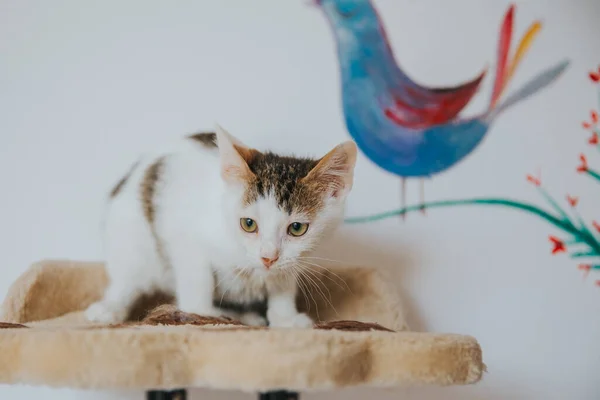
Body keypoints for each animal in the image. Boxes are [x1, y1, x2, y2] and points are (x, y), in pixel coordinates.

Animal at [84, 126, 356, 328]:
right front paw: (202, 314)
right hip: (129, 237)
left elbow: (283, 281)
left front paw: (285, 318)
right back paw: (109, 308)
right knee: (127, 279)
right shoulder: (185, 236)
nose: (268, 258)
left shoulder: (292, 260)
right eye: (248, 224)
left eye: (297, 228)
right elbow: (197, 277)